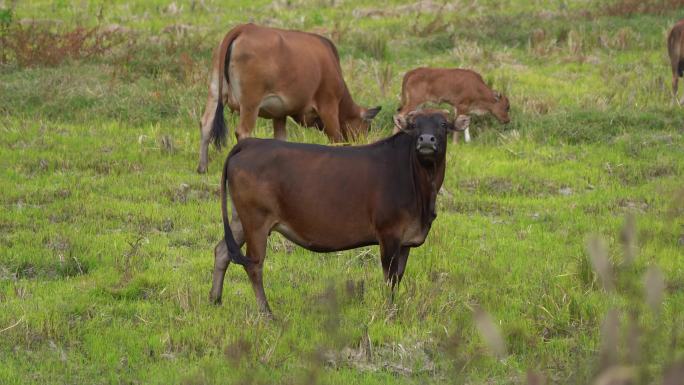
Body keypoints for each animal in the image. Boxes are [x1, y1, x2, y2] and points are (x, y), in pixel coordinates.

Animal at [195, 24, 382, 172]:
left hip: (215, 91)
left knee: (206, 123)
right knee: (243, 131)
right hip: (250, 103)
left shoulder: (279, 115)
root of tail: (243, 28)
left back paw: (202, 167)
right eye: (368, 127)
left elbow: (280, 139)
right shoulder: (328, 106)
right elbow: (336, 140)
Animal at [210, 109, 470, 314]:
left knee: (222, 250)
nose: (426, 140)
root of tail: (252, 143)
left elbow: (398, 276)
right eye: (415, 126)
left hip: (240, 219)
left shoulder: (406, 239)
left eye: (443, 125)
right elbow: (389, 277)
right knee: (254, 264)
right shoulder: (389, 233)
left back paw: (215, 299)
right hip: (256, 219)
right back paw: (266, 312)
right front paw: (389, 309)